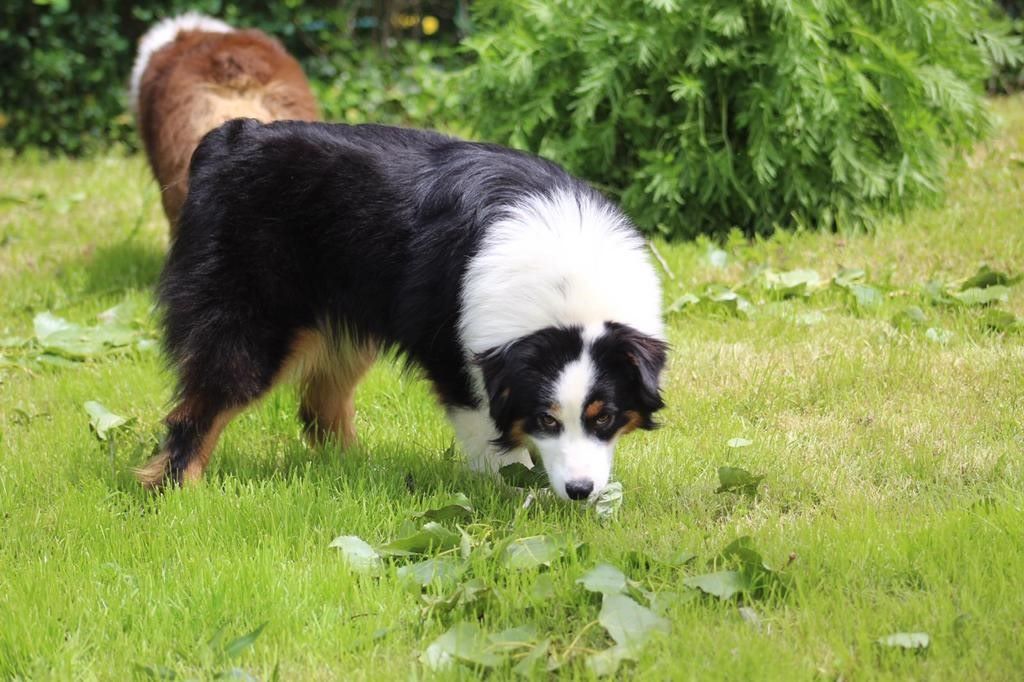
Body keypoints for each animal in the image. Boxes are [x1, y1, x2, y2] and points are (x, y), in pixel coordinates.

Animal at [140, 118, 667, 499]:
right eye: (546, 419)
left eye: (604, 418)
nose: (580, 492)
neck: (564, 284)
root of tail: (229, 137)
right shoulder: (458, 361)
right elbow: (497, 447)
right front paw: (518, 498)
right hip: (253, 325)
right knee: (199, 410)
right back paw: (179, 491)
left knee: (320, 405)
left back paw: (353, 468)